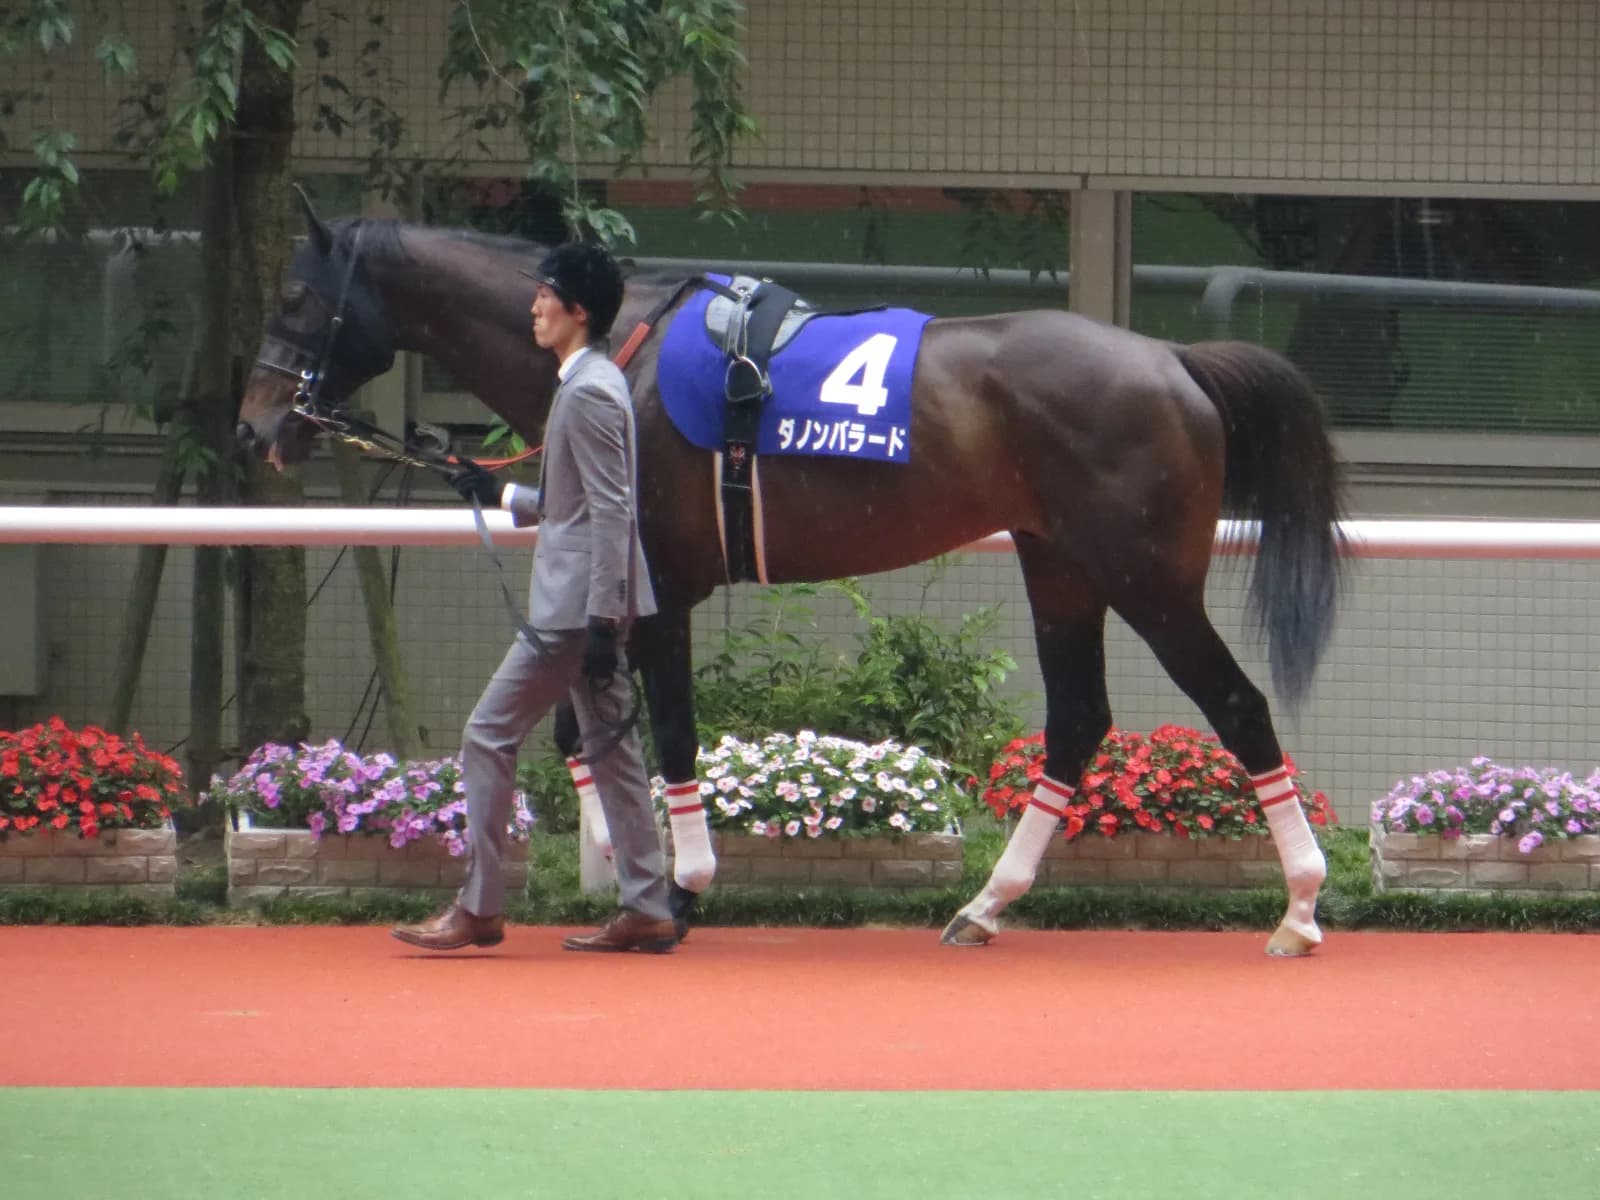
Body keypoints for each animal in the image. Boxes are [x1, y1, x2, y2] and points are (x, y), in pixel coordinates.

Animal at [238, 199, 1346, 956]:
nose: (255, 428)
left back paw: (1298, 907)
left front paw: (677, 889)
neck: (623, 356)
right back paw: (985, 904)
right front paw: (617, 879)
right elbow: (580, 737)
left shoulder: (663, 589)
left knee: (1237, 706)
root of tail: (1173, 359)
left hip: (1146, 577)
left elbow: (669, 735)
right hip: (1061, 566)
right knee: (1077, 719)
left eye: (294, 294)